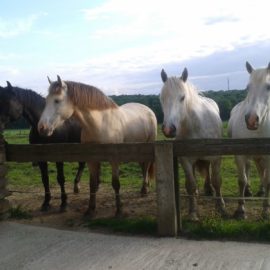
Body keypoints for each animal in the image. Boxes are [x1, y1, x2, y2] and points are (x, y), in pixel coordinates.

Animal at [0, 81, 85, 212]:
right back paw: (76, 187)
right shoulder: (40, 158)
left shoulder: (59, 156)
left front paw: (64, 203)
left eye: (7, 102)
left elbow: (61, 179)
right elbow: (45, 179)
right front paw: (46, 203)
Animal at [37, 76, 157, 217]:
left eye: (57, 100)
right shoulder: (92, 160)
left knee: (146, 166)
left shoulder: (114, 160)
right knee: (143, 167)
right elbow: (92, 184)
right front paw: (90, 210)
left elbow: (116, 184)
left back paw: (144, 189)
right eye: (46, 100)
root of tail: (148, 109)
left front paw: (119, 210)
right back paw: (145, 187)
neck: (100, 124)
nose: (42, 128)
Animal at [159, 67, 225, 221]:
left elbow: (217, 181)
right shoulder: (186, 160)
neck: (196, 126)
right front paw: (193, 212)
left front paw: (221, 208)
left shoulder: (216, 157)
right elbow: (190, 184)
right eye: (162, 98)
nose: (168, 129)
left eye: (182, 97)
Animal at [229, 61, 270, 219]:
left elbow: (267, 180)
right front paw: (240, 209)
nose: (251, 120)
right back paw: (249, 191)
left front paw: (266, 210)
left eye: (269, 86)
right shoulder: (240, 155)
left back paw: (261, 191)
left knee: (261, 173)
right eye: (248, 87)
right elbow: (242, 180)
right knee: (249, 169)